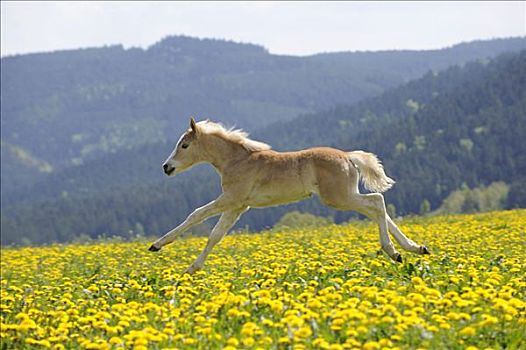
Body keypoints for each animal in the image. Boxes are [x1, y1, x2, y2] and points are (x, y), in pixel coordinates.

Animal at [148, 117, 428, 274]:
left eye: (184, 145)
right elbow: (216, 235)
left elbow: (196, 215)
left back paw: (394, 251)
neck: (238, 160)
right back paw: (414, 248)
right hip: (345, 195)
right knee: (378, 209)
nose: (166, 167)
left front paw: (158, 245)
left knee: (377, 203)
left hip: (338, 197)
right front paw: (192, 268)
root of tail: (349, 157)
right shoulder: (238, 206)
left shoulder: (231, 199)